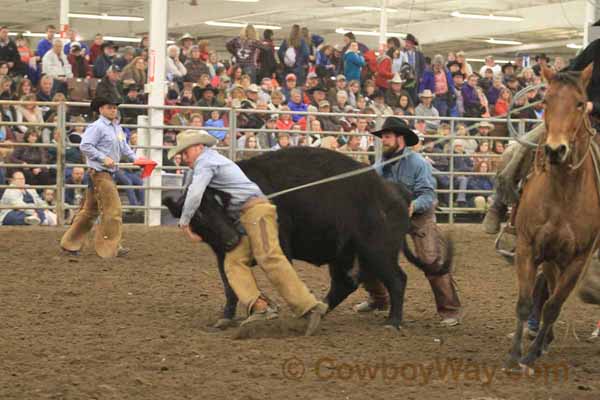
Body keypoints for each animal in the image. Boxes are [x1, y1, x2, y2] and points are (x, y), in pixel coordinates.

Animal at [506, 64, 600, 370]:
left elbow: (554, 306)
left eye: (580, 103)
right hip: (549, 255)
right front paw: (514, 355)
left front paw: (531, 354)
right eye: (545, 101)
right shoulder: (527, 246)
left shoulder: (578, 259)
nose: (555, 150)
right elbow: (524, 302)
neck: (562, 193)